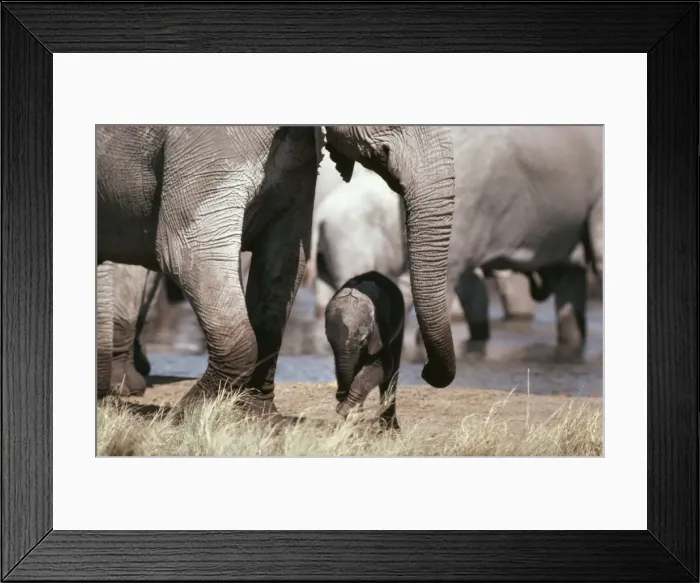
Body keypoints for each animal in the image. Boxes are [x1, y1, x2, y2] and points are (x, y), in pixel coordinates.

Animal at [325, 271, 405, 431]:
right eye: (330, 341)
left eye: (362, 342)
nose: (339, 396)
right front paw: (350, 416)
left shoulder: (381, 330)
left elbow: (382, 367)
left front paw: (345, 409)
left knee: (393, 370)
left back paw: (391, 430)